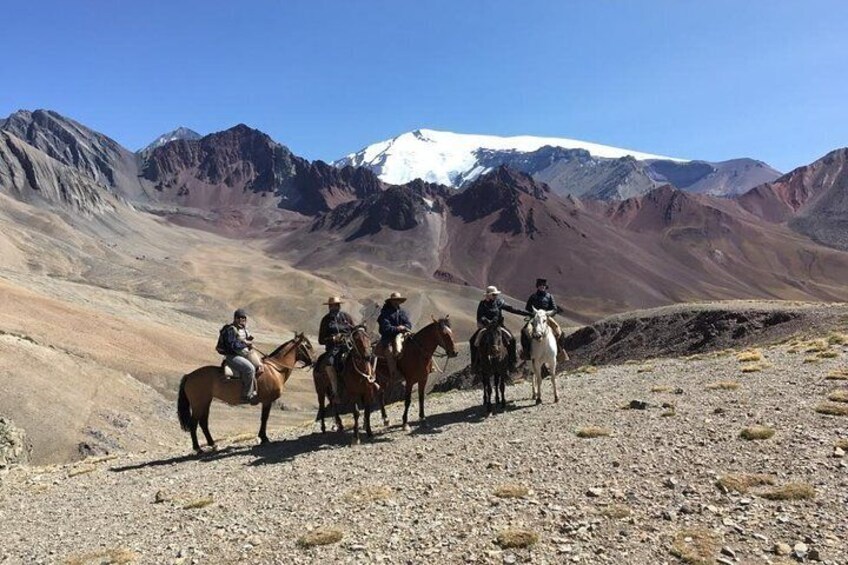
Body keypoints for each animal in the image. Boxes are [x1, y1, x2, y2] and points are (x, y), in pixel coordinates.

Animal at [178, 332, 314, 452]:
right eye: (307, 345)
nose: (313, 362)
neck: (275, 369)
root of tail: (189, 376)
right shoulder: (267, 401)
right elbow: (264, 418)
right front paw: (264, 438)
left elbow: (264, 418)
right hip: (198, 404)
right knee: (194, 424)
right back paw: (198, 448)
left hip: (206, 402)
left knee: (203, 423)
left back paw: (213, 445)